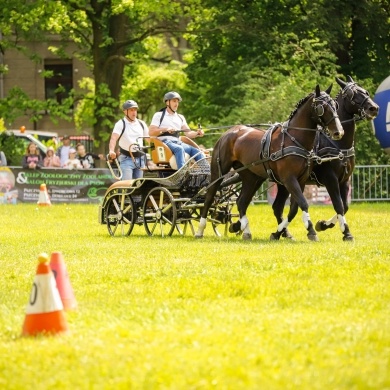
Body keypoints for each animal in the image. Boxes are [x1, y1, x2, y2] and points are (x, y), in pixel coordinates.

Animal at [197, 85, 342, 241]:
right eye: (322, 107)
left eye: (335, 105)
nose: (338, 132)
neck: (294, 139)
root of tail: (229, 132)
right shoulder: (289, 179)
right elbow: (303, 203)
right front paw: (310, 231)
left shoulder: (301, 180)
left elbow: (294, 208)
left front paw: (281, 231)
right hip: (219, 171)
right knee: (209, 196)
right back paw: (200, 230)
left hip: (252, 177)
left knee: (241, 202)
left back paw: (246, 231)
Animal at [272, 76, 378, 241]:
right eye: (352, 95)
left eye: (365, 91)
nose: (374, 108)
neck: (337, 144)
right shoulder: (330, 178)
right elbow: (338, 204)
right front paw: (346, 232)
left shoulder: (345, 180)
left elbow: (344, 206)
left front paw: (323, 224)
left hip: (283, 182)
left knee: (278, 207)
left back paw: (284, 233)